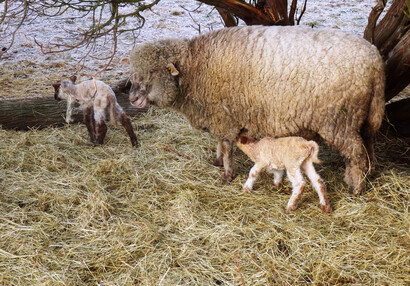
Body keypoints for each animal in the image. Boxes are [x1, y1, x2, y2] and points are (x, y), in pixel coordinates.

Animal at [130, 25, 386, 194]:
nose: (132, 98)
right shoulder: (217, 114)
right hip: (365, 115)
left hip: (339, 119)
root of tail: (375, 61)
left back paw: (357, 187)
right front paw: (217, 161)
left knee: (355, 152)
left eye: (154, 71)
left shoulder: (223, 115)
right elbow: (219, 143)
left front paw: (227, 174)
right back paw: (368, 173)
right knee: (368, 142)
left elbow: (226, 145)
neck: (195, 68)